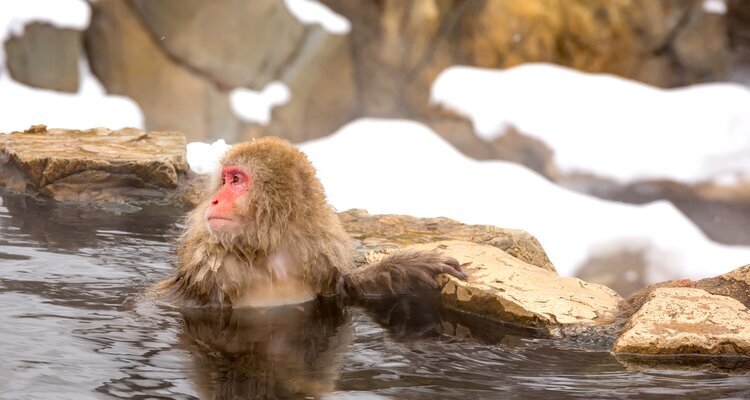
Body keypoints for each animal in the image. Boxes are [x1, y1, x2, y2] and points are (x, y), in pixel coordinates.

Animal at [154, 137, 466, 308]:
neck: (267, 253)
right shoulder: (209, 277)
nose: (215, 200)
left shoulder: (320, 262)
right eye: (223, 180)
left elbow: (347, 289)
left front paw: (409, 266)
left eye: (236, 180)